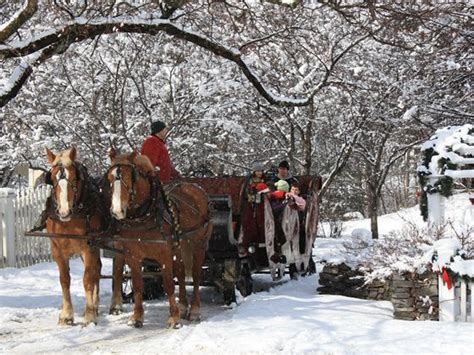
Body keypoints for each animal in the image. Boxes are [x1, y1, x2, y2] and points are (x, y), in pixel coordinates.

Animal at [44, 147, 104, 326]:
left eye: (74, 178)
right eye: (52, 178)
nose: (64, 212)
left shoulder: (88, 247)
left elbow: (87, 279)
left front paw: (90, 316)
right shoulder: (58, 250)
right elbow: (64, 280)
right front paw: (66, 315)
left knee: (97, 271)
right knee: (97, 268)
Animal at [106, 149, 212, 328]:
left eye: (129, 177)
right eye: (110, 178)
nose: (117, 211)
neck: (145, 217)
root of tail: (197, 188)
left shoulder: (164, 255)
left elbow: (168, 284)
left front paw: (174, 318)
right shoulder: (132, 255)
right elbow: (138, 285)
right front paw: (137, 317)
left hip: (199, 244)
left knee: (197, 275)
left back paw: (194, 310)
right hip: (180, 246)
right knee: (181, 273)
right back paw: (183, 306)